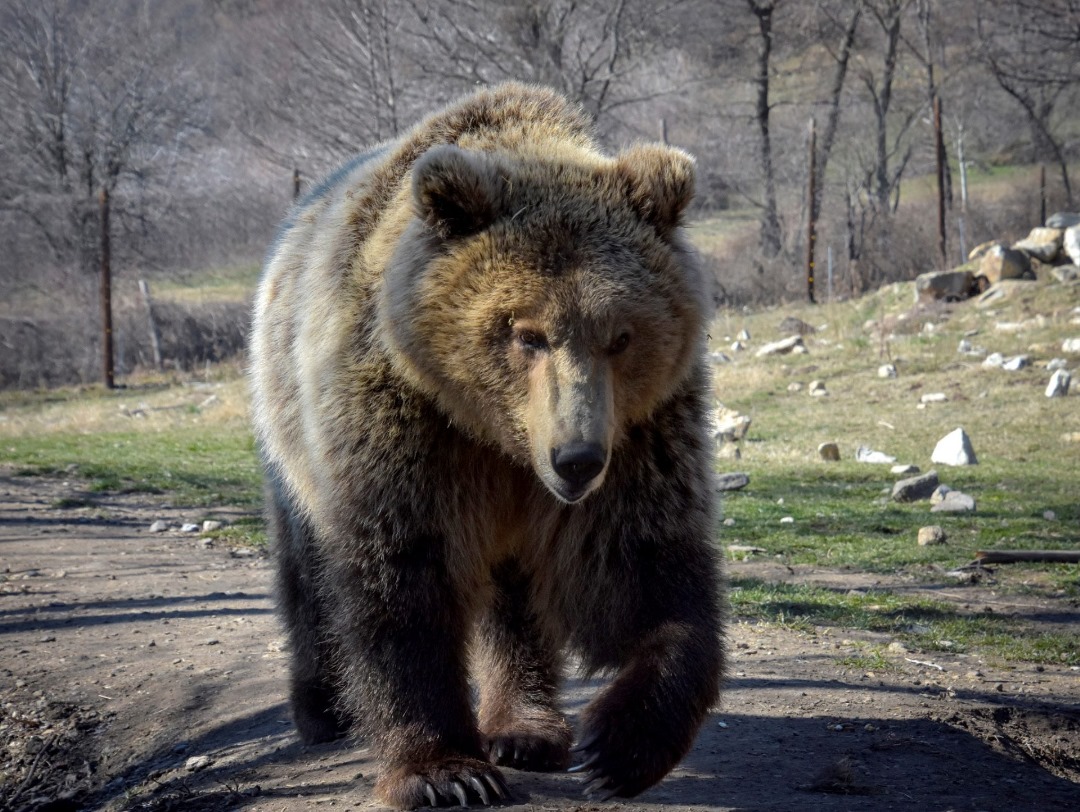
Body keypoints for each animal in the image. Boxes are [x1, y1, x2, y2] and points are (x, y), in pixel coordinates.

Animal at [250, 85, 725, 807]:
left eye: (621, 335)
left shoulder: (640, 434)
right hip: (287, 419)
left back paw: (526, 727)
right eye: (526, 333)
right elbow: (402, 577)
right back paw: (320, 709)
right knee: (306, 569)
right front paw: (444, 771)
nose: (577, 459)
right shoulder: (405, 421)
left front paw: (620, 744)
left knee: (516, 598)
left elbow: (644, 565)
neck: (498, 434)